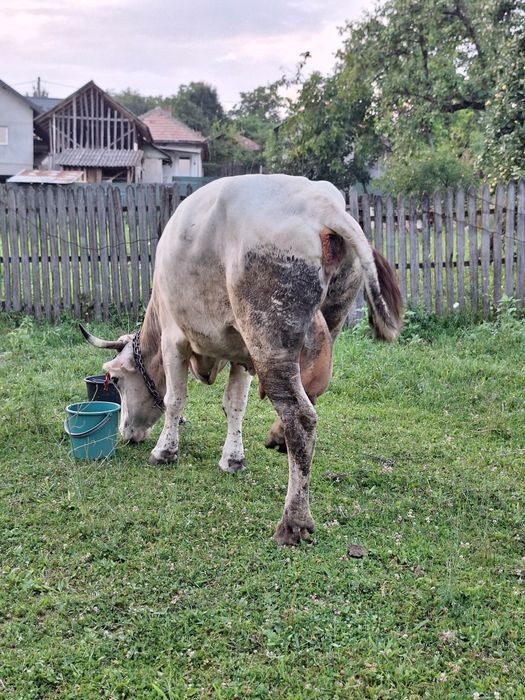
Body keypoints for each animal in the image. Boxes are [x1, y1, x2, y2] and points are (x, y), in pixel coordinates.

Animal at [80, 174, 402, 545]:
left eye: (116, 380)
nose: (126, 433)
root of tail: (321, 204)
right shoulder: (242, 354)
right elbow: (235, 404)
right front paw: (233, 458)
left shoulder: (175, 339)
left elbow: (175, 399)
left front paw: (164, 451)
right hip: (323, 323)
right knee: (311, 395)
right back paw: (278, 436)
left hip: (269, 339)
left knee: (301, 416)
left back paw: (294, 521)